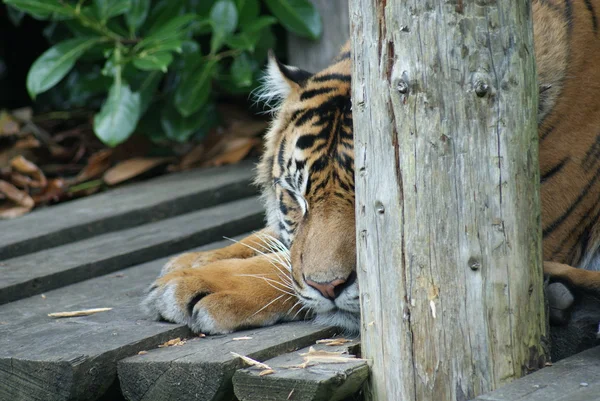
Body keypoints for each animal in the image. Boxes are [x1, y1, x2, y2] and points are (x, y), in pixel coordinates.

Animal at [144, 0, 600, 346]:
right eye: (296, 198)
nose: (329, 288)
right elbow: (273, 243)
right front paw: (189, 262)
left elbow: (279, 267)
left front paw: (191, 284)